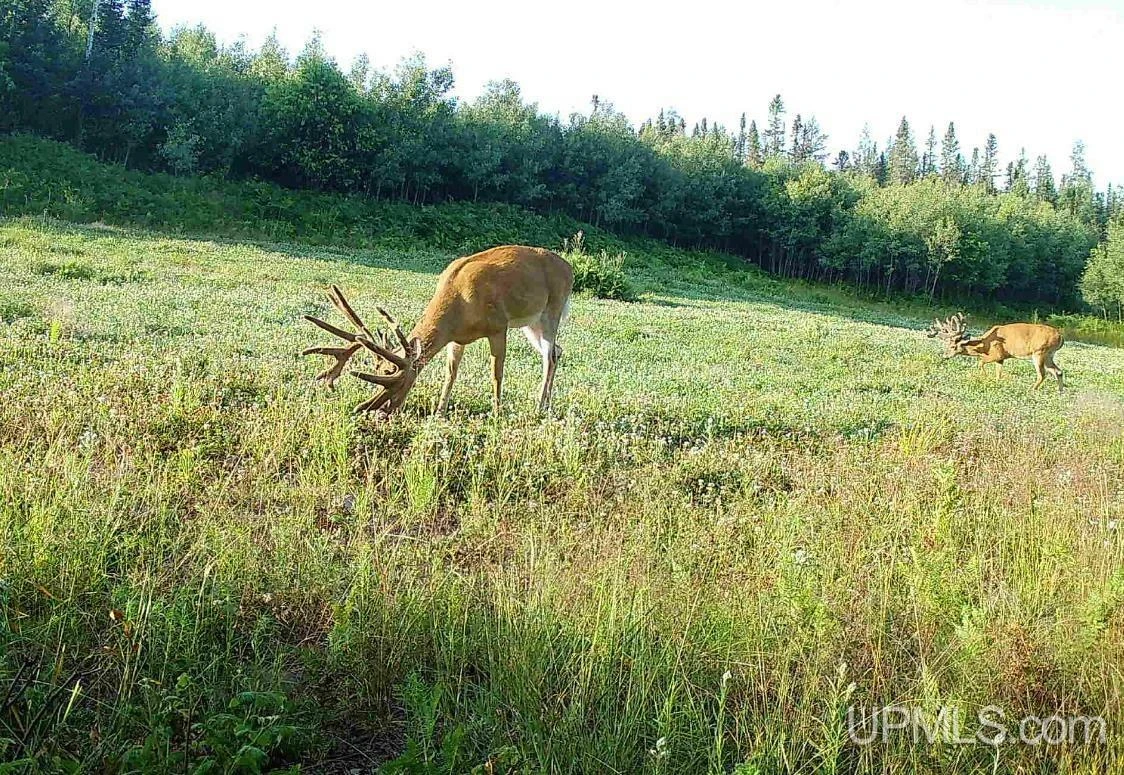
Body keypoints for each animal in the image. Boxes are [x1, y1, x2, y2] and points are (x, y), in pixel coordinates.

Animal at [302, 245, 573, 418]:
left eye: (398, 382)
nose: (382, 412)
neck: (460, 300)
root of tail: (570, 268)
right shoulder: (457, 338)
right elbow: (450, 374)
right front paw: (440, 412)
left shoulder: (499, 326)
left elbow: (496, 373)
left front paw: (497, 414)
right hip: (531, 323)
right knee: (557, 351)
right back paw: (546, 405)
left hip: (552, 309)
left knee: (549, 356)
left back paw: (539, 406)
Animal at [926, 313, 1065, 391]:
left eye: (952, 346)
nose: (944, 356)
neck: (983, 346)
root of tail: (1060, 337)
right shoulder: (1001, 359)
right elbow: (998, 374)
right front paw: (996, 382)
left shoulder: (997, 354)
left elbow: (980, 363)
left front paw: (985, 377)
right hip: (1049, 355)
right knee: (1058, 371)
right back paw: (1060, 391)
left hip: (1039, 352)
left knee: (1042, 374)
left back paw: (1031, 390)